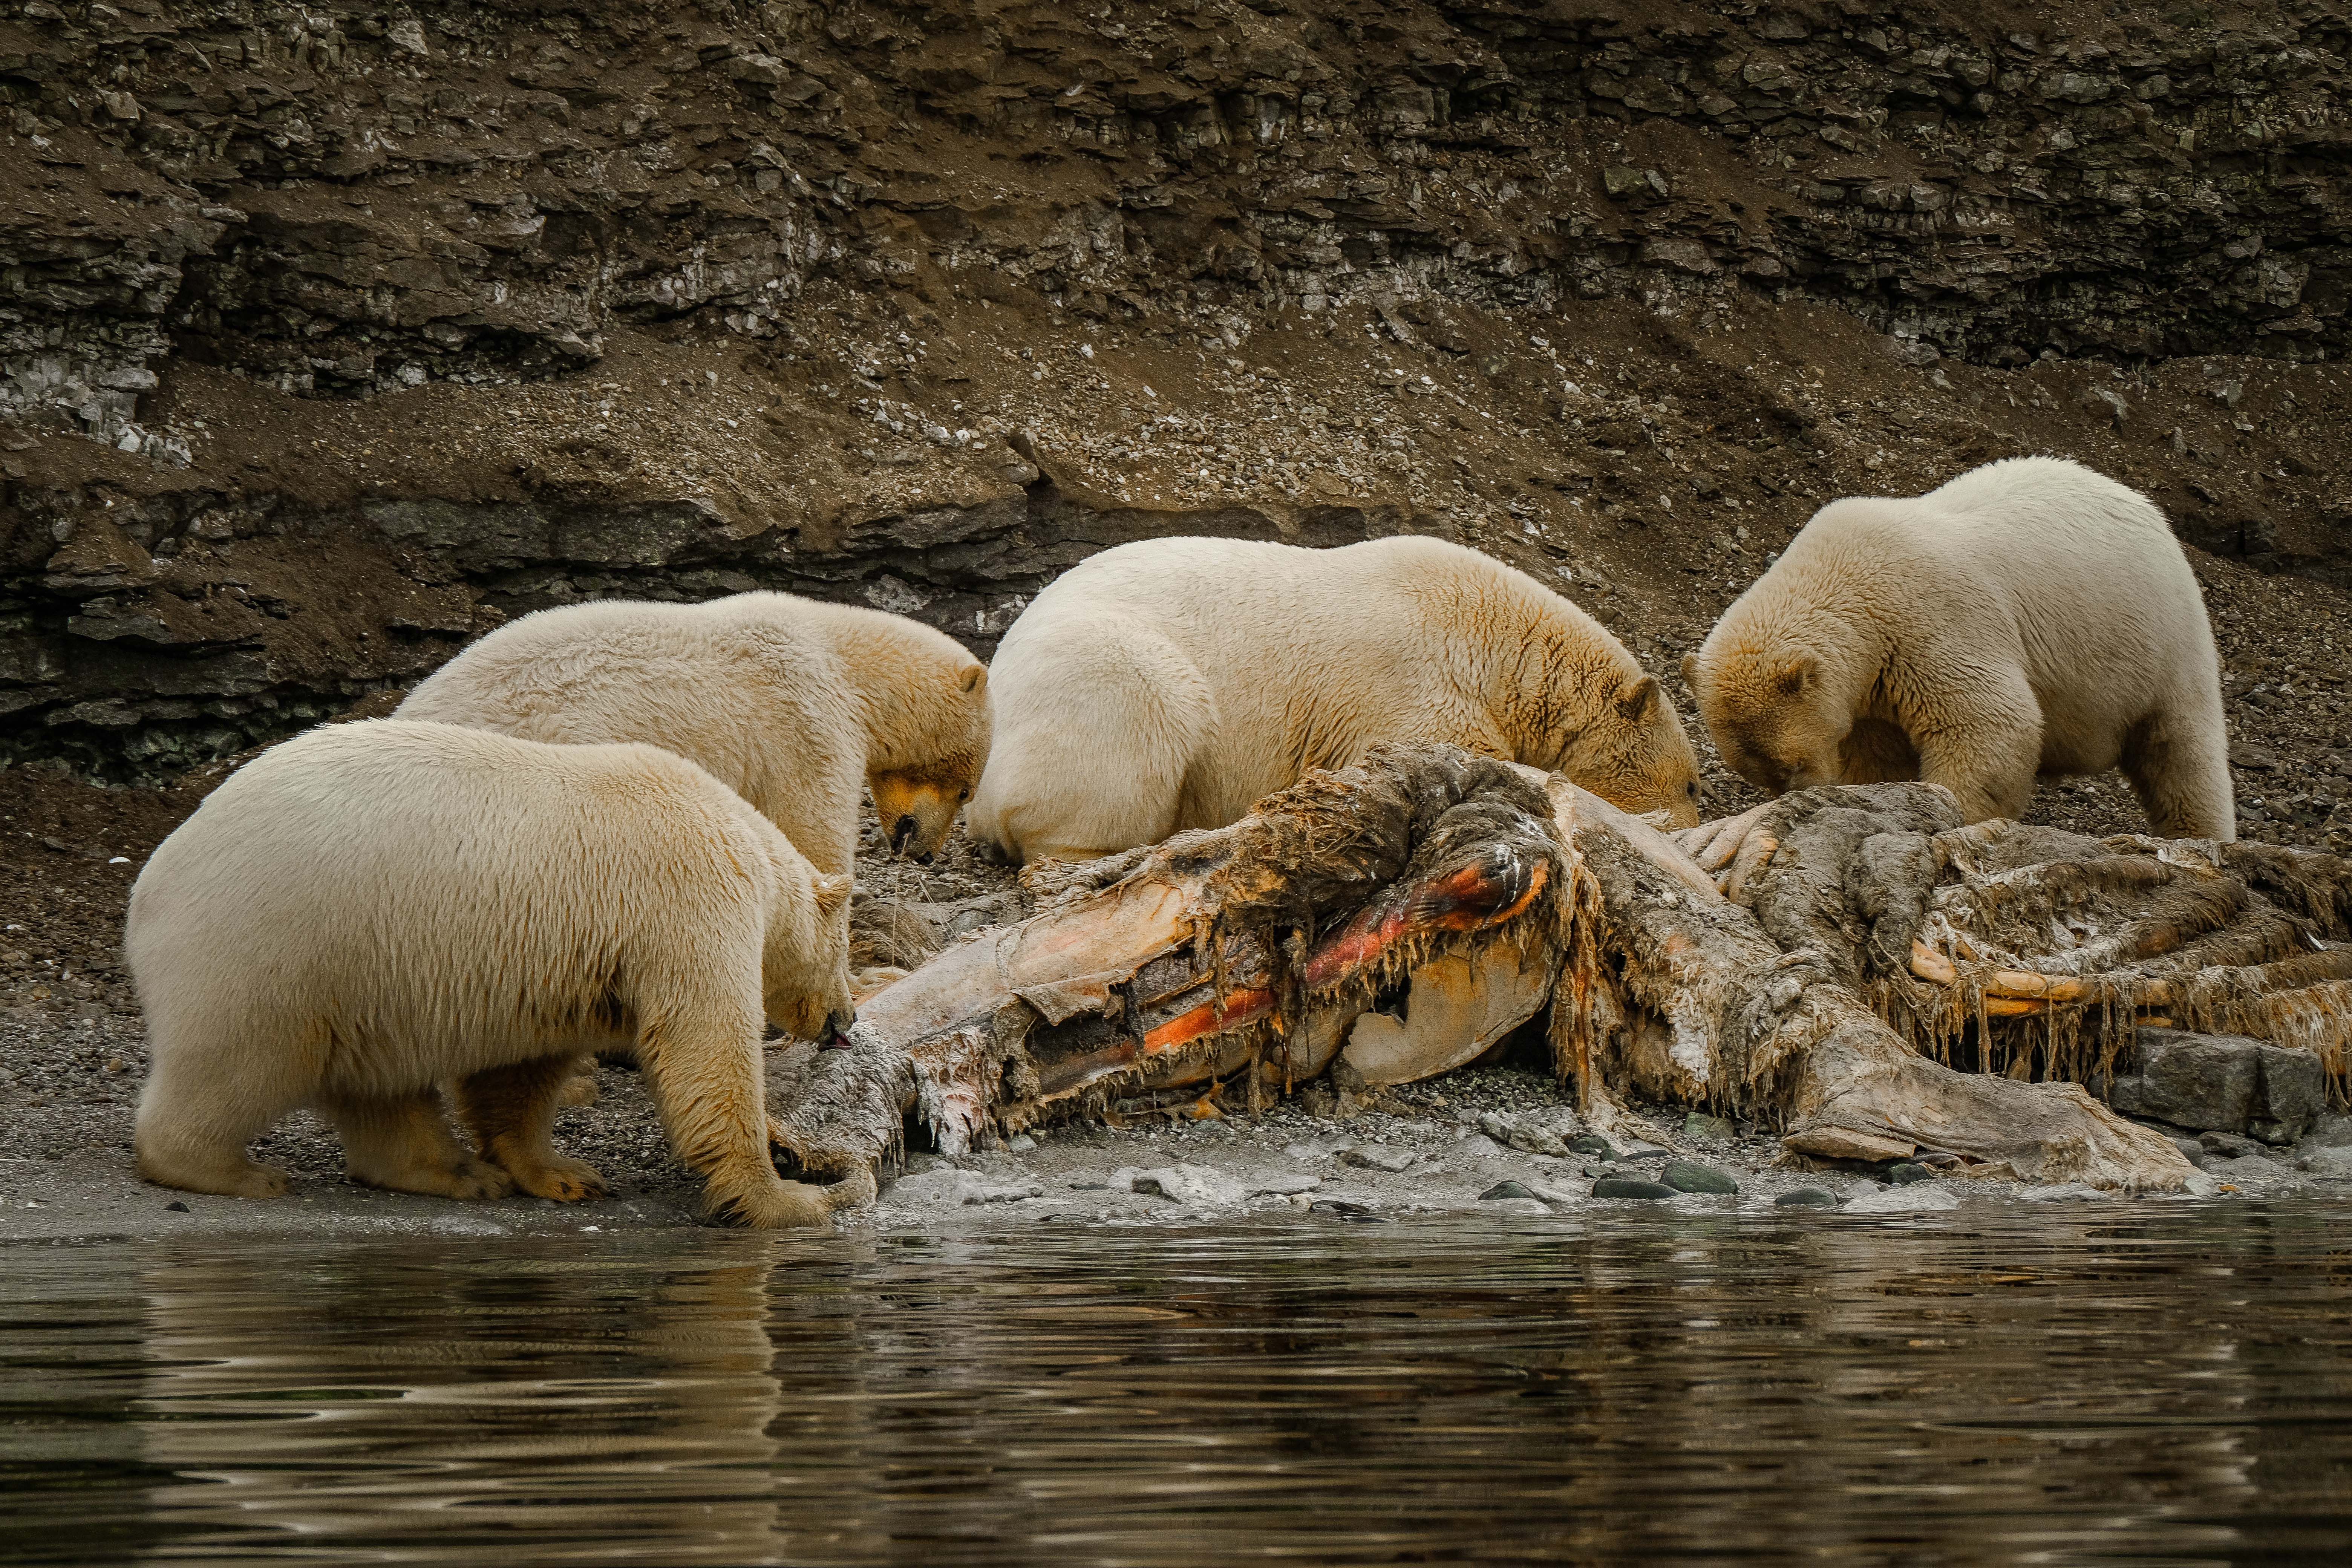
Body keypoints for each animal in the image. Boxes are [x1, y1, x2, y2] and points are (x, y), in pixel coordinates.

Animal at [127, 719, 869, 1229]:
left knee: (378, 1086)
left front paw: (561, 1172)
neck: (751, 848)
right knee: (242, 1062)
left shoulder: (564, 962)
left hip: (359, 972)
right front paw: (786, 1198)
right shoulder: (687, 901)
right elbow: (706, 1045)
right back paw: (231, 1170)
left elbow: (521, 1071)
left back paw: (455, 1172)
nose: (846, 1019)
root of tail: (149, 887)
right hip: (276, 942)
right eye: (846, 962)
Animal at [1682, 456, 2235, 841]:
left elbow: (1990, 723)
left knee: (2181, 750)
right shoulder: (1873, 685)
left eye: (1792, 764)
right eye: (1759, 775)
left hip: (2159, 637)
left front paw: (1952, 814)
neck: (1847, 576)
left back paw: (2198, 834)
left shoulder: (1932, 619)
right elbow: (1881, 756)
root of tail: (2147, 509)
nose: (1800, 796)